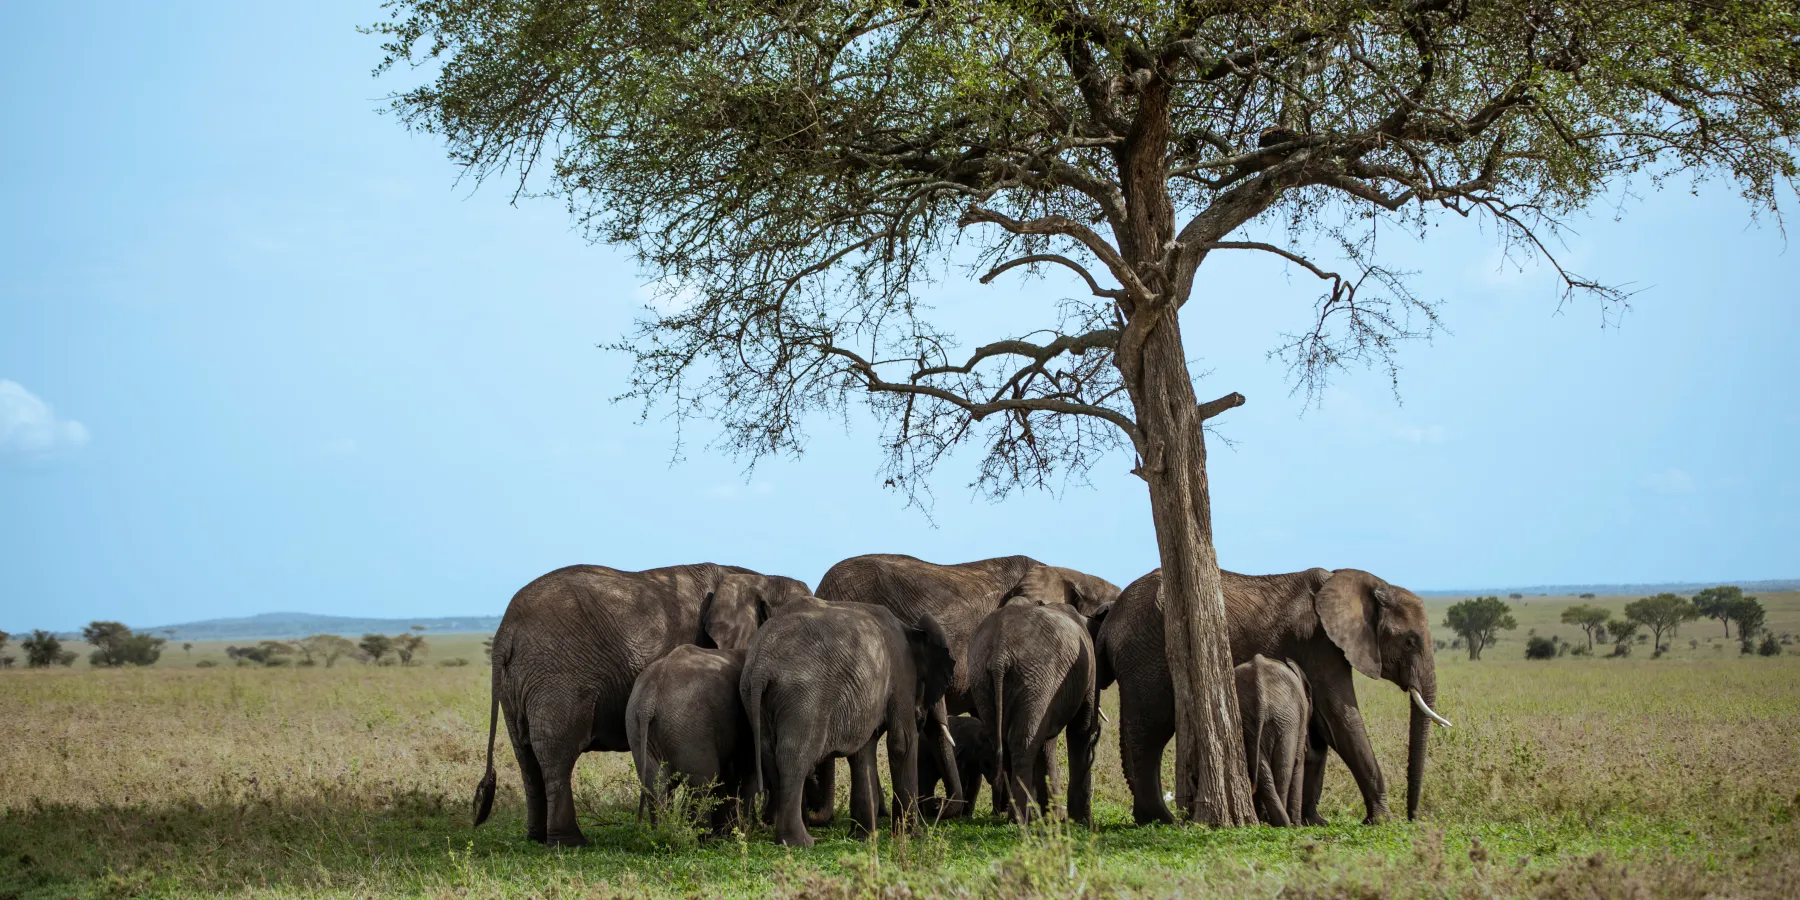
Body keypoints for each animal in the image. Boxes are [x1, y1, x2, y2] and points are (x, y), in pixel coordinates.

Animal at [626, 645, 754, 835]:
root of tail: (649, 698)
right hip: (688, 726)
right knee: (703, 781)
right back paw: (701, 837)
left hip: (638, 726)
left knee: (655, 784)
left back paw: (662, 832)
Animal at [740, 596, 960, 847]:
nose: (937, 803)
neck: (910, 628)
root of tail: (760, 665)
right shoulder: (902, 674)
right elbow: (902, 743)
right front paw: (913, 837)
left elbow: (862, 752)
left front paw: (863, 838)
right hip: (804, 695)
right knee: (795, 757)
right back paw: (800, 842)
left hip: (753, 696)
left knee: (769, 755)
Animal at [967, 598, 1108, 824]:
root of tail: (999, 653)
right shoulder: (1087, 670)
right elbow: (1081, 730)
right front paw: (1081, 821)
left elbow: (1046, 744)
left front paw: (1054, 818)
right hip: (1035, 677)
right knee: (1024, 742)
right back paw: (1021, 819)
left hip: (983, 678)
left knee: (1001, 740)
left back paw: (1020, 817)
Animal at [1235, 654, 1309, 826]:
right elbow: (1299, 760)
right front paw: (1298, 825)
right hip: (1286, 720)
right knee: (1284, 768)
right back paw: (1285, 823)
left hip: (1249, 720)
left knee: (1262, 769)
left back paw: (1273, 821)